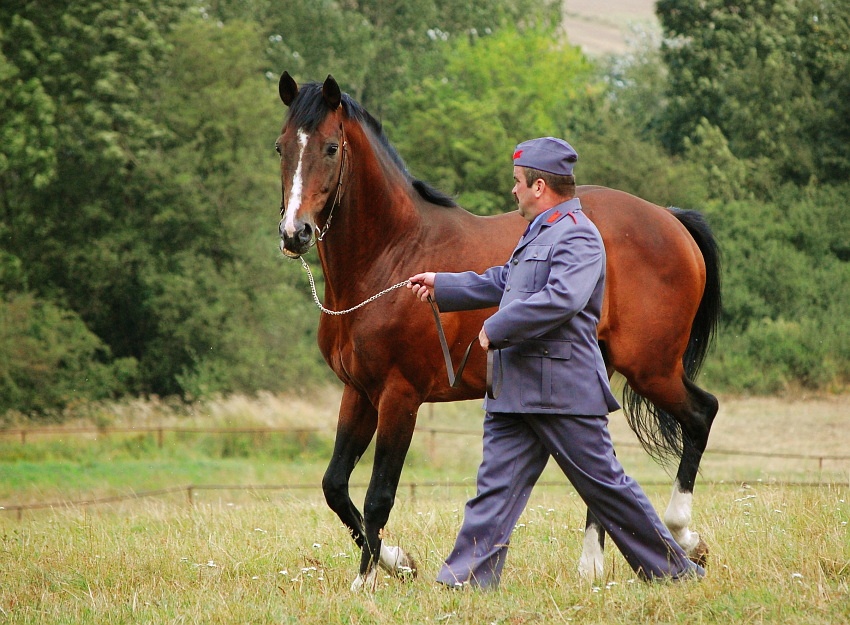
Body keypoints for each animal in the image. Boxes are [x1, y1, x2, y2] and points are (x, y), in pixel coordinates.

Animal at [274, 73, 720, 588]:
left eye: (330, 148)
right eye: (281, 146)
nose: (295, 234)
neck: (391, 257)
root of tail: (671, 220)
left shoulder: (399, 396)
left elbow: (378, 495)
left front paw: (366, 582)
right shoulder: (359, 392)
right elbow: (334, 486)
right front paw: (399, 562)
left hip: (652, 366)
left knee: (701, 415)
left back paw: (683, 536)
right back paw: (592, 565)